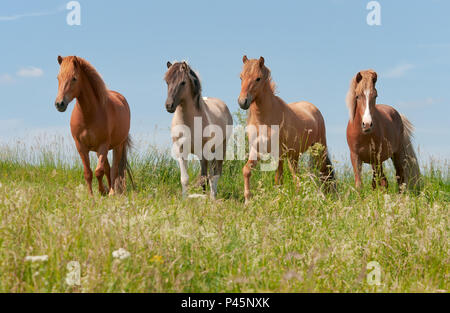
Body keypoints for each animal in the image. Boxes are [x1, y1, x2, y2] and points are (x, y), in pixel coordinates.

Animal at [53, 54, 133, 194]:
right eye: (58, 78)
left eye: (74, 78)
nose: (59, 104)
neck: (89, 115)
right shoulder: (81, 146)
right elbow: (88, 173)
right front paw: (91, 195)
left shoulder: (103, 145)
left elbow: (98, 171)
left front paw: (102, 191)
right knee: (108, 168)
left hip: (117, 146)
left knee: (114, 169)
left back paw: (112, 192)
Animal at [163, 60, 232, 200]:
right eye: (167, 81)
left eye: (183, 82)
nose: (169, 105)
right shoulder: (181, 150)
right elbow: (185, 178)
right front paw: (184, 200)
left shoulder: (204, 152)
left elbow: (204, 177)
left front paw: (204, 200)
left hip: (219, 149)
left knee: (215, 174)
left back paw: (213, 198)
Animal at [239, 55, 334, 202]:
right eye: (241, 77)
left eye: (258, 78)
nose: (243, 102)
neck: (263, 120)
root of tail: (313, 108)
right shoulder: (256, 150)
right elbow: (246, 170)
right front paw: (248, 200)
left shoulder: (278, 154)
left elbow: (278, 179)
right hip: (294, 156)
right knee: (297, 178)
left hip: (318, 150)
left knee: (324, 172)